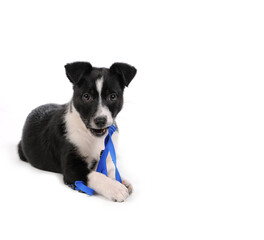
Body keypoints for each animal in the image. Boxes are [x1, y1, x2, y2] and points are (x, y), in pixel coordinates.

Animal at [17, 61, 137, 202]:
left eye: (112, 96)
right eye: (86, 96)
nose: (100, 120)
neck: (91, 136)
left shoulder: (106, 153)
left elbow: (110, 169)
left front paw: (121, 181)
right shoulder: (71, 168)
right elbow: (95, 175)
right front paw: (115, 188)